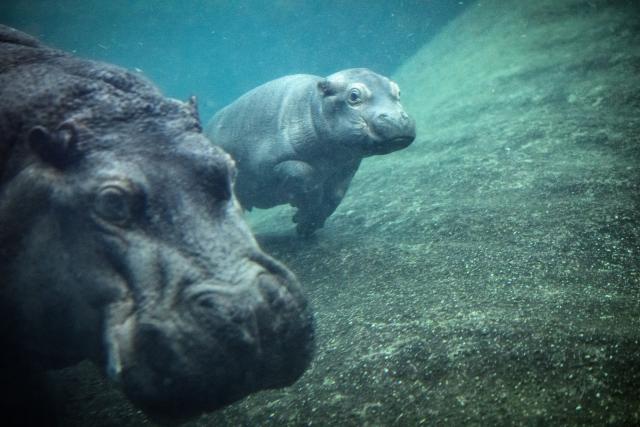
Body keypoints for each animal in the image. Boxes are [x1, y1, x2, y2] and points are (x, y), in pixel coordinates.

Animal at [205, 68, 416, 236]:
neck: (313, 106)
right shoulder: (269, 164)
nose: (398, 119)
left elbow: (334, 197)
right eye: (354, 96)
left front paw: (308, 225)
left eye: (397, 91)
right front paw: (301, 213)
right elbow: (304, 173)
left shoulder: (346, 167)